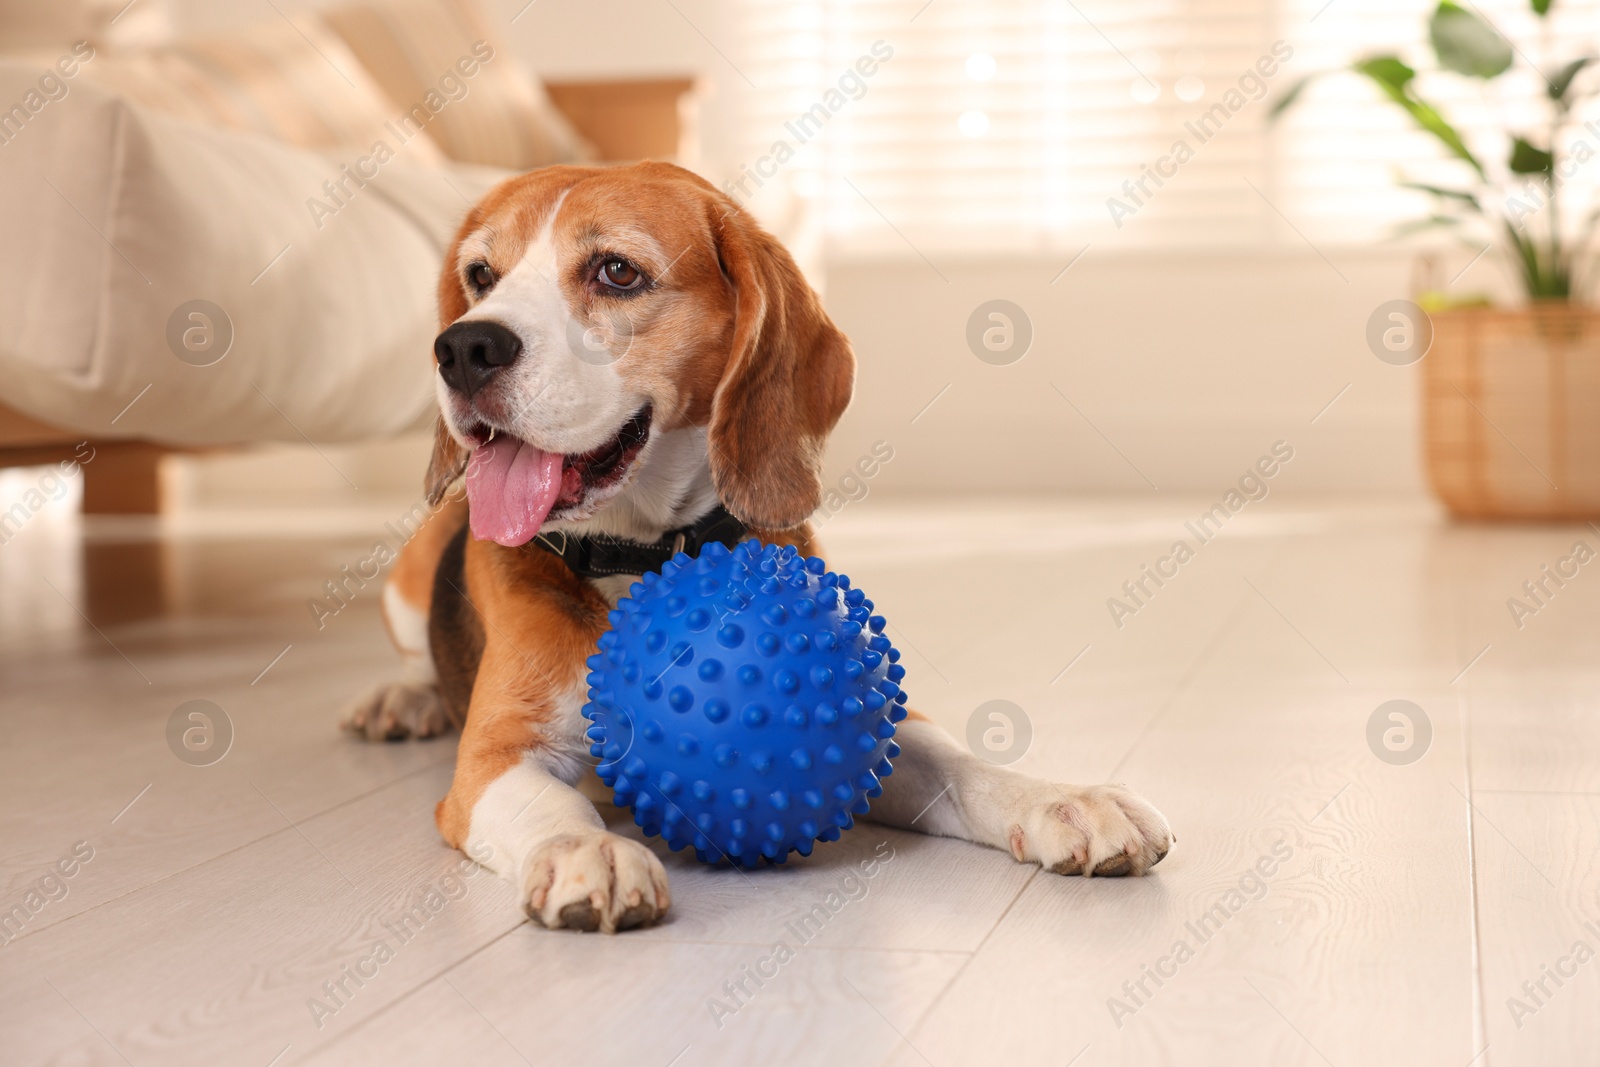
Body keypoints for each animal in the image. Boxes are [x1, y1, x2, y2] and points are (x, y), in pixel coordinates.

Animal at [344, 160, 1177, 934]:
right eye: (481, 276)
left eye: (617, 271)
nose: (462, 347)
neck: (645, 556)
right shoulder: (493, 759)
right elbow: (553, 805)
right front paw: (589, 849)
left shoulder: (884, 722)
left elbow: (965, 764)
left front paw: (1065, 799)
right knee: (414, 657)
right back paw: (402, 698)